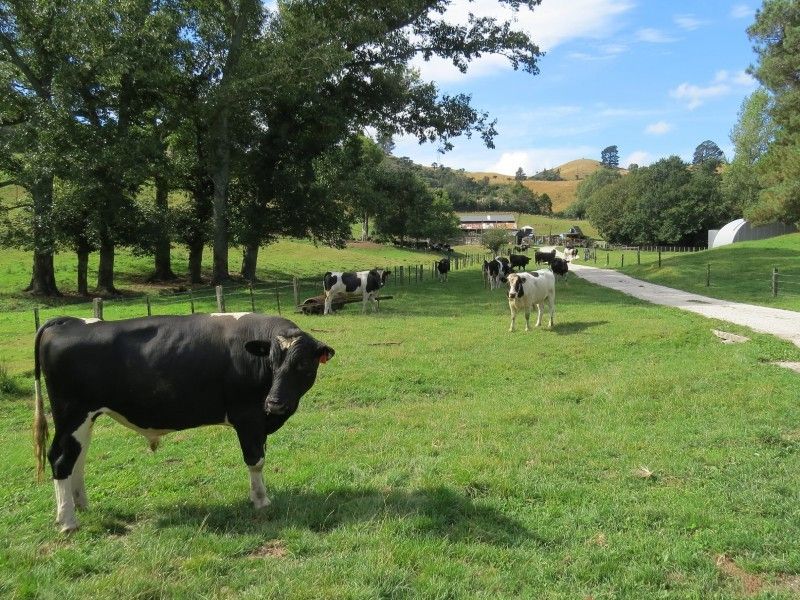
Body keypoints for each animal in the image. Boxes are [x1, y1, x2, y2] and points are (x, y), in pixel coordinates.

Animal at [33, 312, 334, 532]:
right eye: (271, 363)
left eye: (304, 365)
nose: (274, 403)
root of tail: (70, 320)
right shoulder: (248, 416)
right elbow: (256, 461)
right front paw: (261, 501)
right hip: (72, 413)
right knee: (61, 459)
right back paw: (67, 520)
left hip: (85, 418)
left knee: (79, 457)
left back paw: (81, 505)